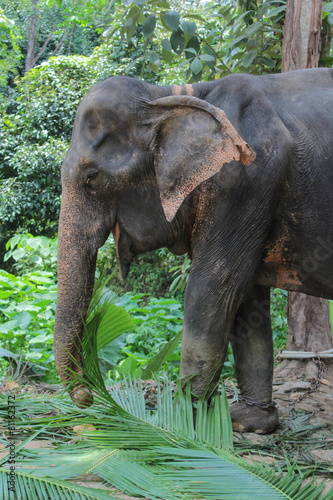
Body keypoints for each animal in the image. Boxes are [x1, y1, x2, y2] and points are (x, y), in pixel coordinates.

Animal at [53, 67, 332, 434]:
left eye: (92, 176)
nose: (87, 395)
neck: (171, 95)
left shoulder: (244, 179)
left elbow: (214, 288)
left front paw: (181, 427)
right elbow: (247, 299)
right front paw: (249, 422)